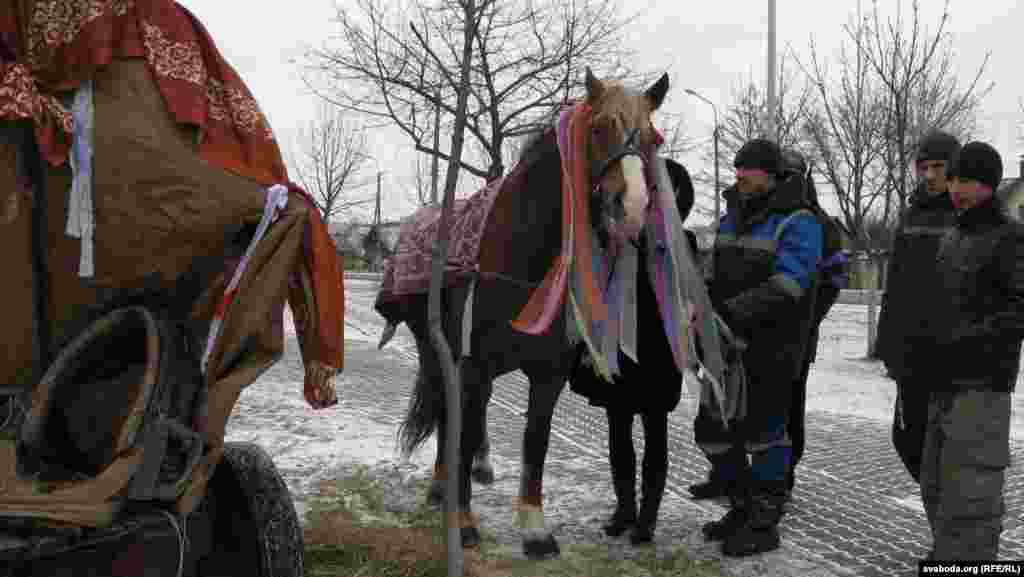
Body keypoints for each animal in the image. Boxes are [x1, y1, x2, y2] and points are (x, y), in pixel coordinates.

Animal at [378, 67, 671, 561]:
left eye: (653, 139)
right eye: (598, 129)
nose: (630, 207)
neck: (521, 255)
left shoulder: (548, 373)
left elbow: (536, 442)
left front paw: (535, 531)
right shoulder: (471, 364)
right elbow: (462, 433)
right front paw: (463, 523)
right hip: (434, 350)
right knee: (449, 415)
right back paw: (441, 489)